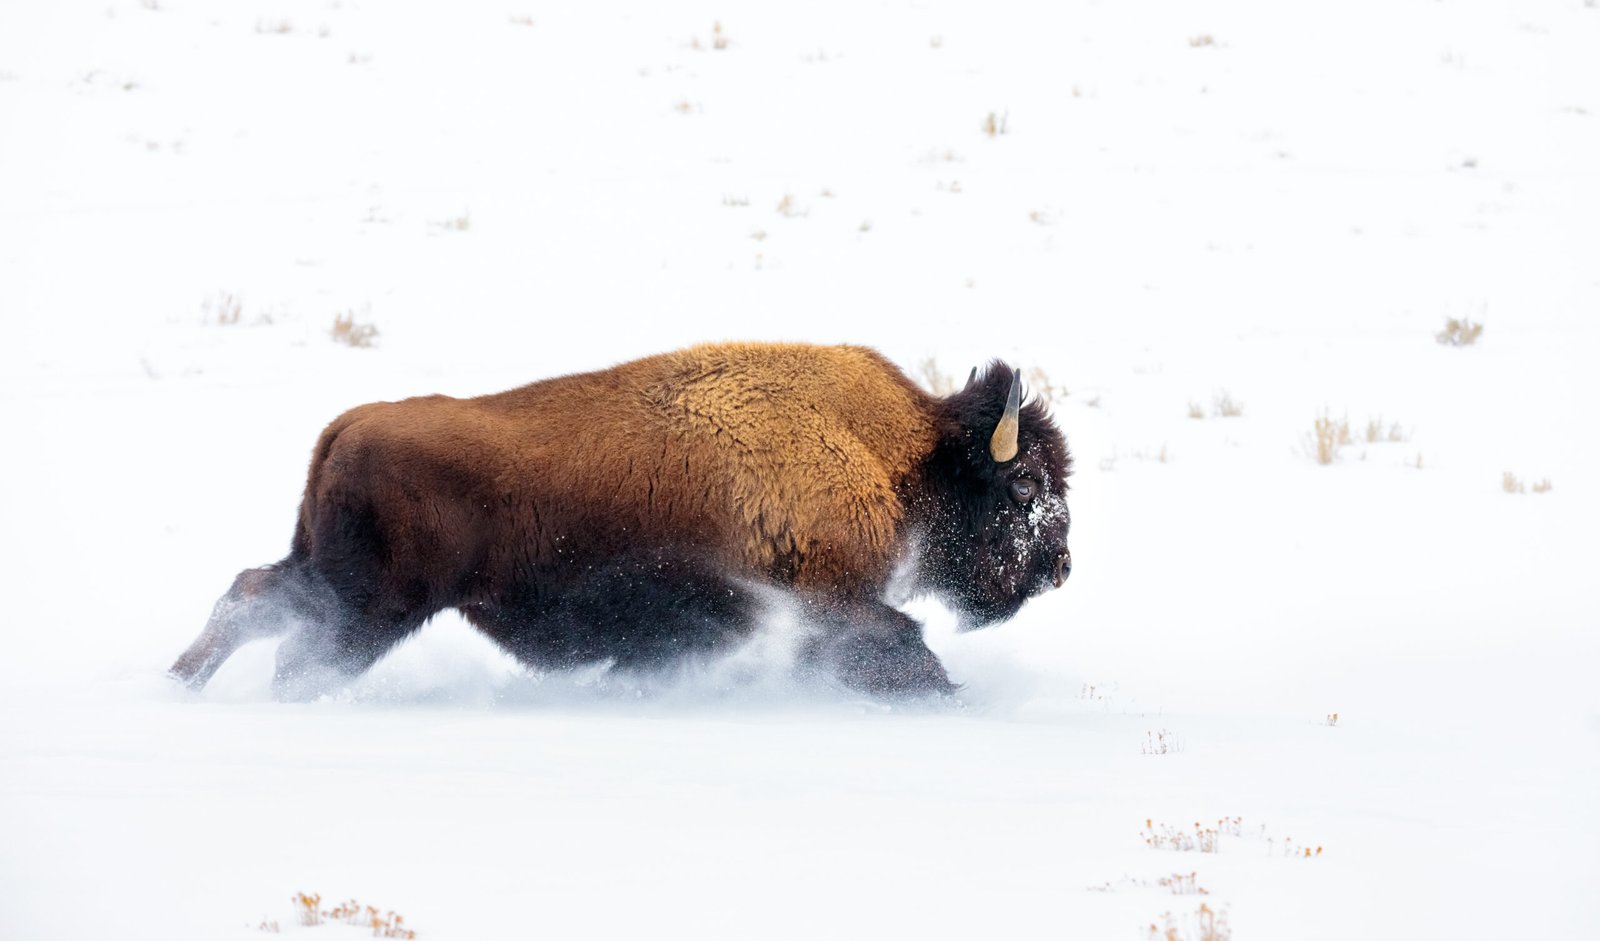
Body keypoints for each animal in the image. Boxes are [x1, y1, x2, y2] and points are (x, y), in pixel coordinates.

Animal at [170, 342, 1072, 698]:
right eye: (1024, 484)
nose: (1059, 566)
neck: (893, 449)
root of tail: (345, 426)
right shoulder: (836, 601)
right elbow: (902, 648)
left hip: (325, 576)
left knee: (250, 599)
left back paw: (180, 684)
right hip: (371, 606)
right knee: (293, 646)